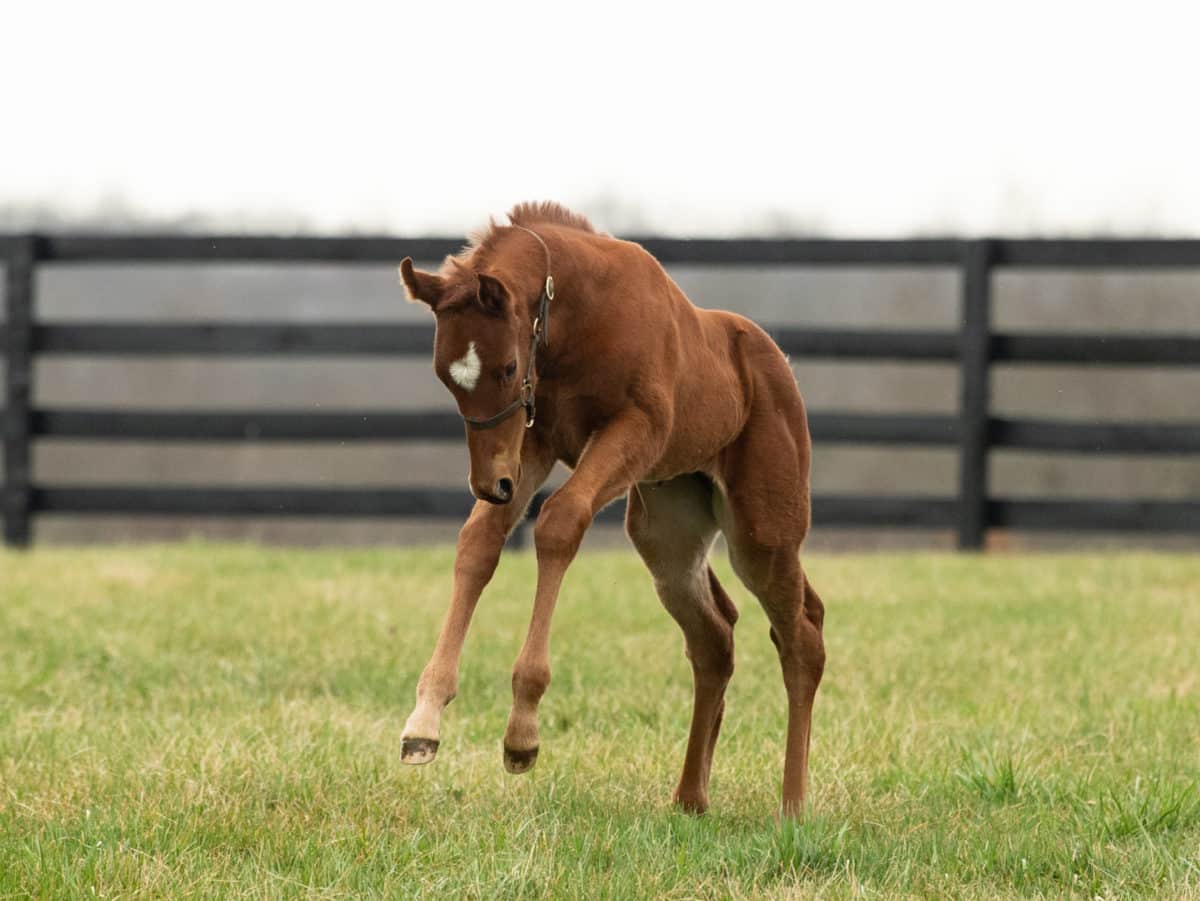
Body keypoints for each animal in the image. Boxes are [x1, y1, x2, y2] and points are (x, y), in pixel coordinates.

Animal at [396, 202, 825, 815]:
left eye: (507, 368)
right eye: (444, 375)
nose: (489, 484)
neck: (579, 318)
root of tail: (775, 365)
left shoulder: (633, 428)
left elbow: (559, 522)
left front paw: (522, 734)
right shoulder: (533, 440)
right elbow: (480, 540)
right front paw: (424, 723)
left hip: (761, 534)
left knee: (802, 633)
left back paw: (791, 806)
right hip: (666, 534)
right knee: (714, 637)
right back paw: (690, 798)